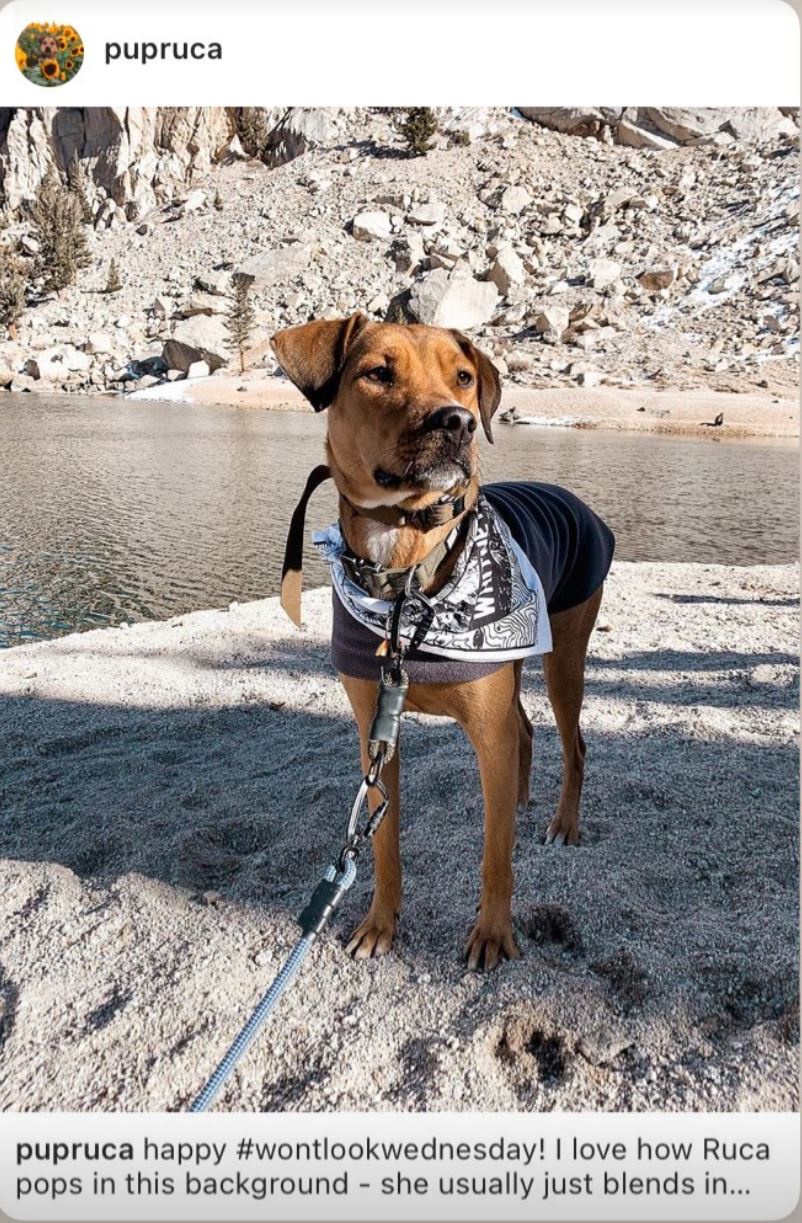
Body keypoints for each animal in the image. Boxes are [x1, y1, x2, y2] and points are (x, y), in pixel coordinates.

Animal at [272, 317, 603, 973]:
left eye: (464, 377)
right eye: (378, 373)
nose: (458, 422)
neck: (404, 571)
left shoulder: (486, 730)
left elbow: (496, 857)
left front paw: (493, 935)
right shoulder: (376, 735)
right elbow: (383, 847)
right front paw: (379, 924)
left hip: (564, 656)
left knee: (572, 743)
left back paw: (562, 823)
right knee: (524, 730)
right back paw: (521, 801)